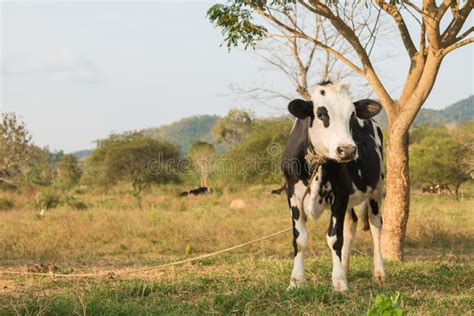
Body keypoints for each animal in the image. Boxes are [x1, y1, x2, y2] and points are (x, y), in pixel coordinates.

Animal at [282, 81, 386, 292]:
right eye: (322, 113)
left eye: (352, 115)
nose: (347, 150)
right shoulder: (293, 195)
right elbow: (300, 239)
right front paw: (296, 281)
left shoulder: (340, 194)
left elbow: (335, 238)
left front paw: (338, 282)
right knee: (350, 224)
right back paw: (344, 268)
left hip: (377, 188)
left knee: (375, 225)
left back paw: (379, 272)